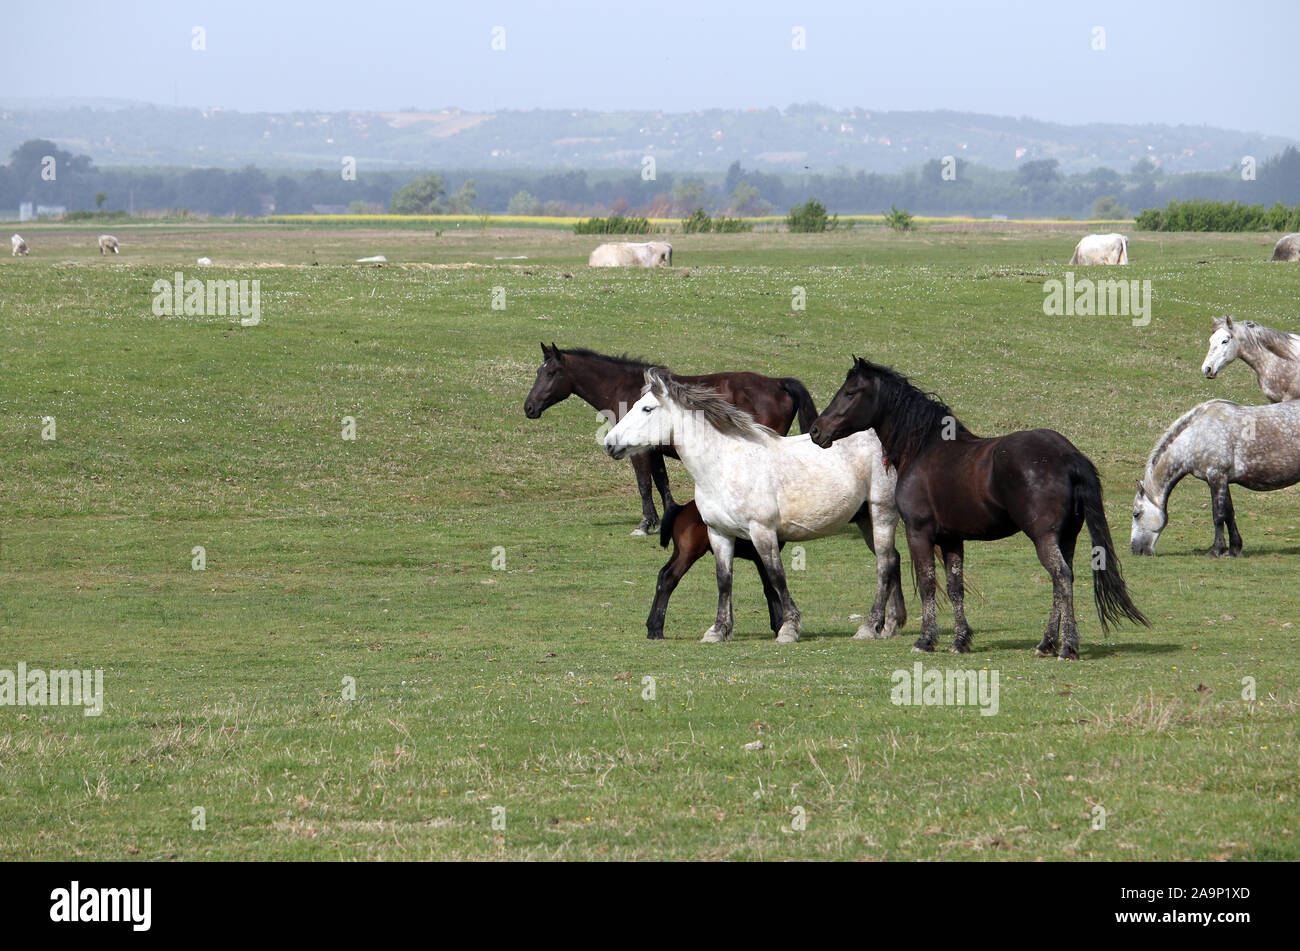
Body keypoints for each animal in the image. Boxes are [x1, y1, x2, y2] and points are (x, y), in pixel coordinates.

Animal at [524, 344, 817, 534]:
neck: (627, 389)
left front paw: (645, 524)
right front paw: (666, 517)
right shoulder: (654, 451)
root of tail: (777, 382)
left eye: (550, 373)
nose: (529, 407)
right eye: (539, 372)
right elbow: (662, 482)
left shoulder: (639, 452)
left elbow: (644, 485)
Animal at [604, 369, 905, 644]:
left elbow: (776, 577)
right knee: (891, 560)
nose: (609, 443)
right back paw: (889, 624)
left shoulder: (763, 532)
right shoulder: (718, 533)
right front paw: (718, 630)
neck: (724, 464)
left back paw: (870, 626)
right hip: (865, 519)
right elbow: (724, 580)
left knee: (884, 564)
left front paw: (788, 628)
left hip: (882, 513)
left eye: (647, 408)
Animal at [808, 358, 1147, 660]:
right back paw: (1046, 643)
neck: (924, 448)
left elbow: (928, 585)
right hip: (1067, 538)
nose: (816, 430)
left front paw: (925, 640)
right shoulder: (951, 539)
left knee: (1061, 578)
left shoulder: (919, 533)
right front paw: (959, 641)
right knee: (1063, 581)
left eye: (850, 392)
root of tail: (1068, 454)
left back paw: (1067, 646)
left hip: (1044, 538)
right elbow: (955, 587)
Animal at [1131, 399, 1300, 557]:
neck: (1196, 435)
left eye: (1136, 514)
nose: (1135, 549)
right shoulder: (1222, 480)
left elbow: (1218, 515)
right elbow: (1229, 514)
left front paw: (1216, 550)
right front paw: (1234, 549)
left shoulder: (1216, 477)